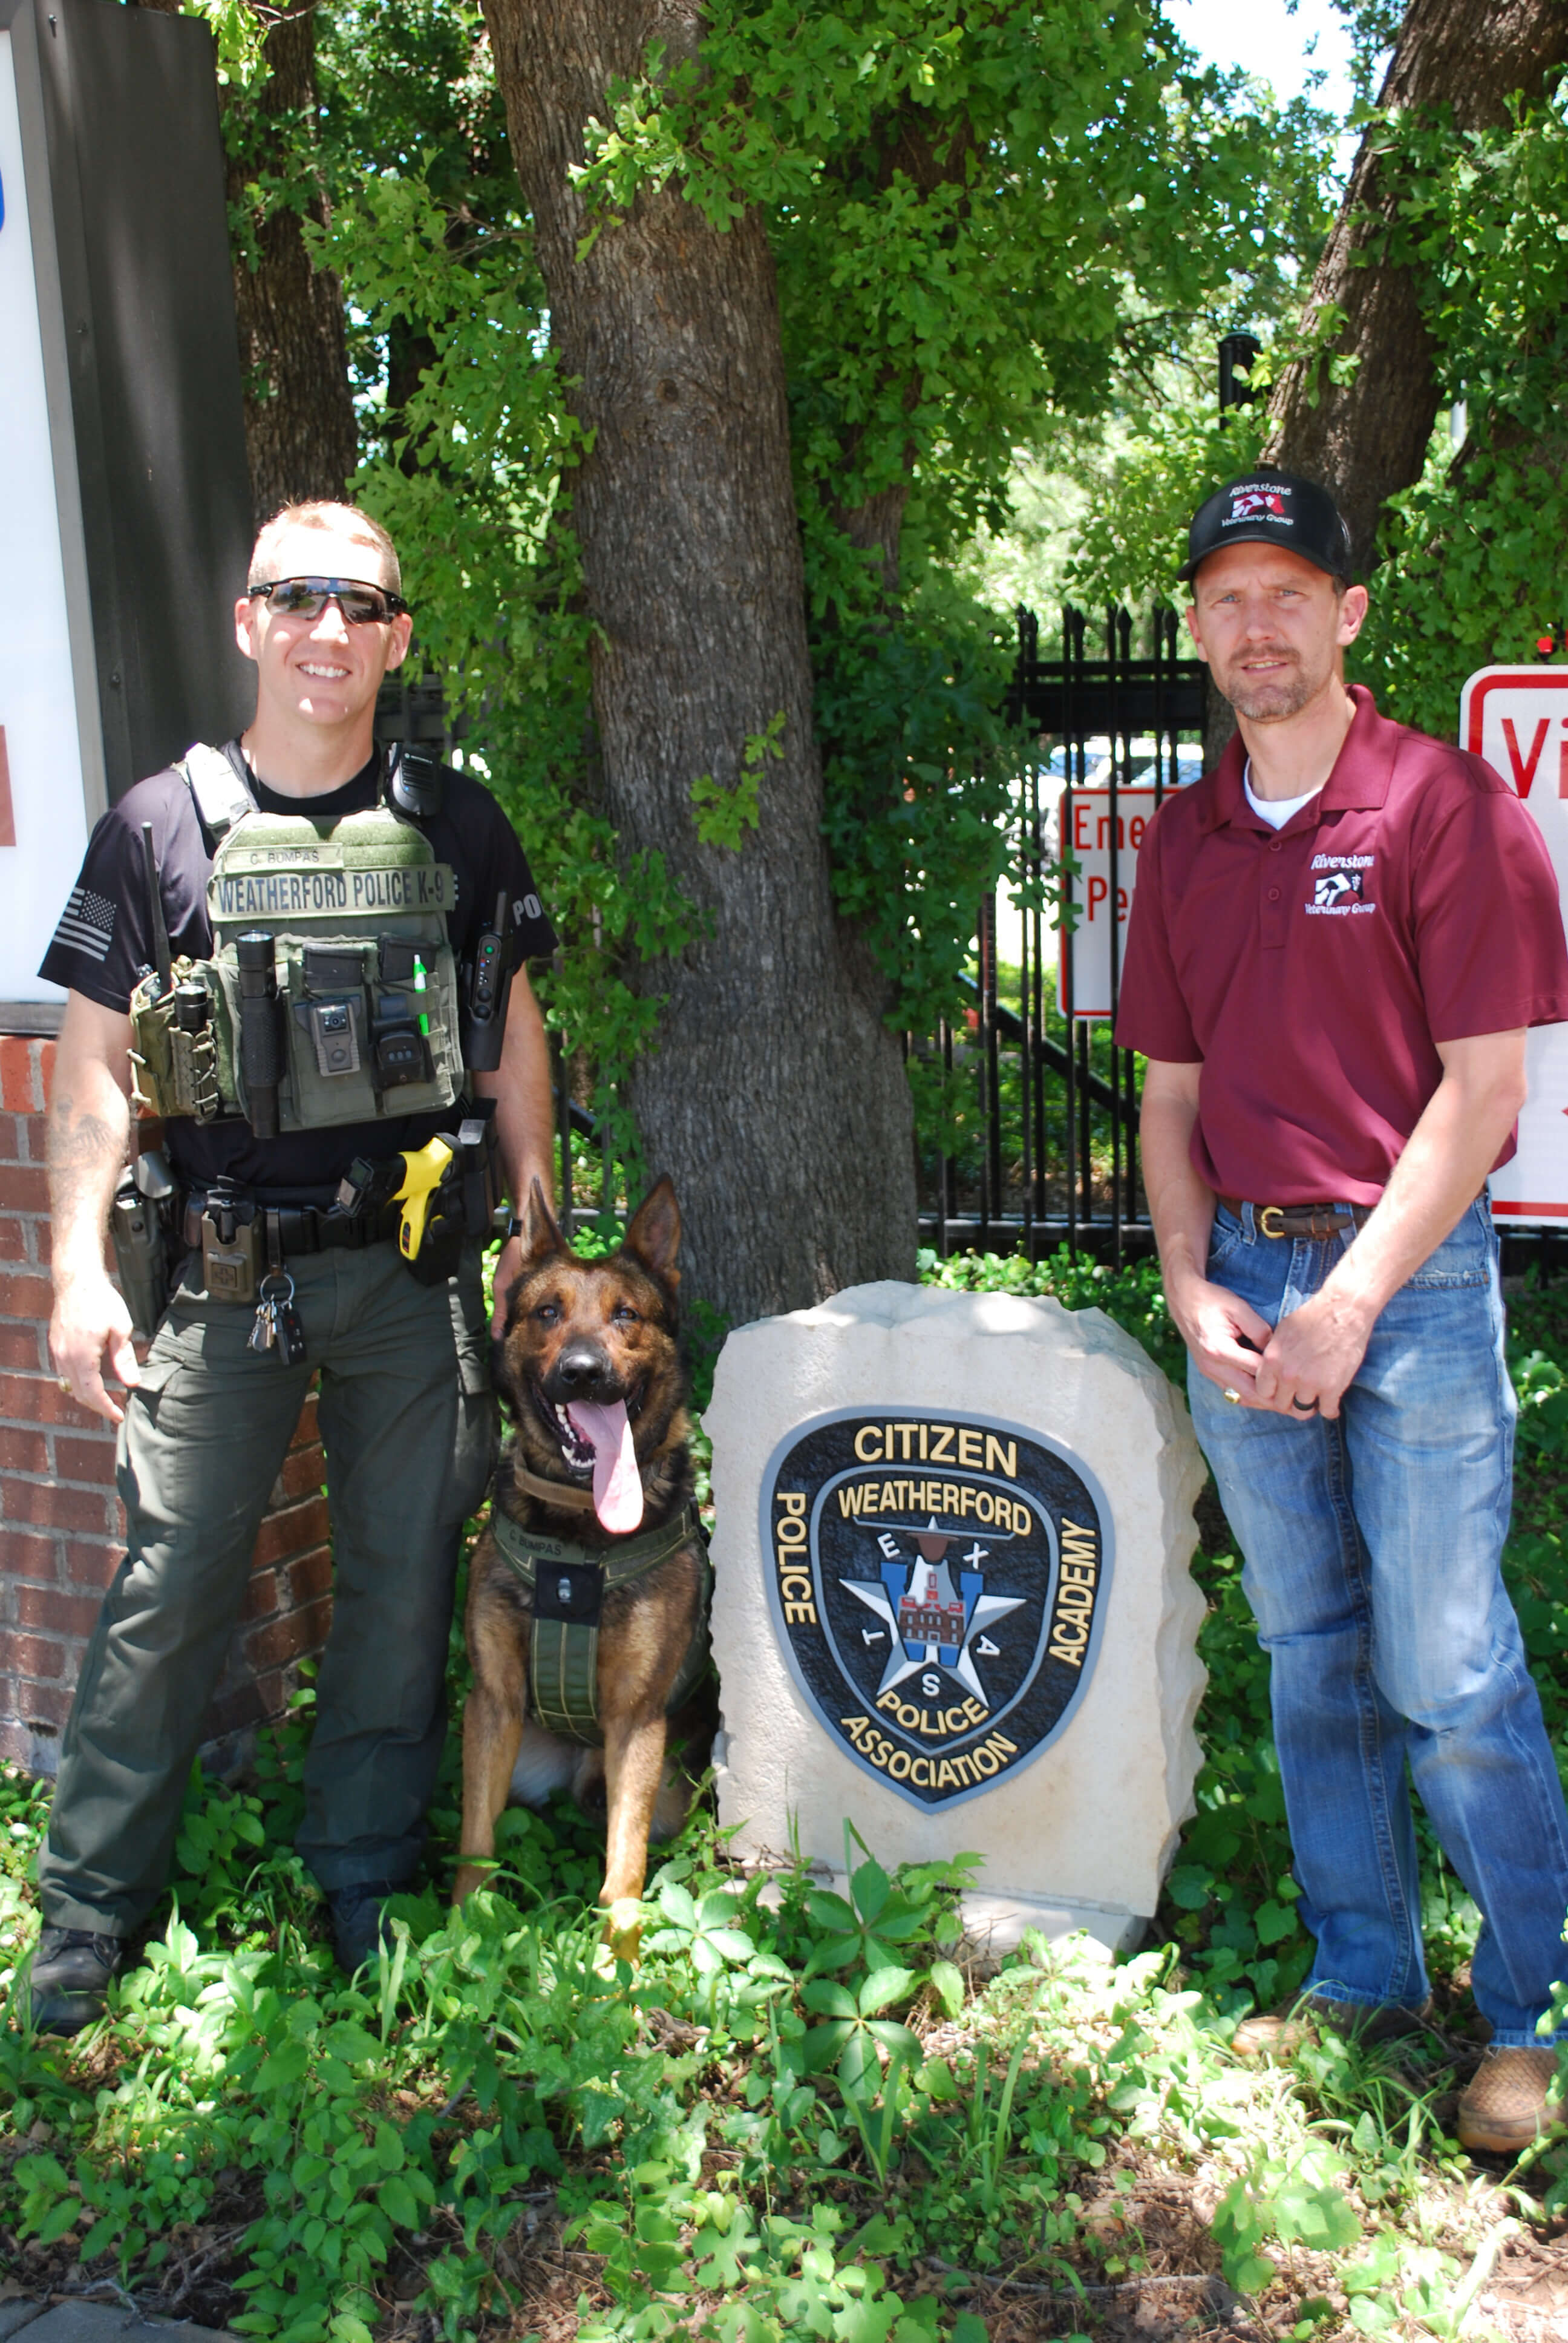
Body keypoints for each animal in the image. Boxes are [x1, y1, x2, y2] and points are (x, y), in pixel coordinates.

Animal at [452, 1172, 708, 1958]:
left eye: (626, 1313)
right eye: (547, 1311)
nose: (584, 1372)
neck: (579, 1535)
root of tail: (577, 1763)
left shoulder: (638, 1721)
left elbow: (623, 1870)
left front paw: (616, 1969)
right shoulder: (494, 1702)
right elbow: (475, 1845)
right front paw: (458, 1942)